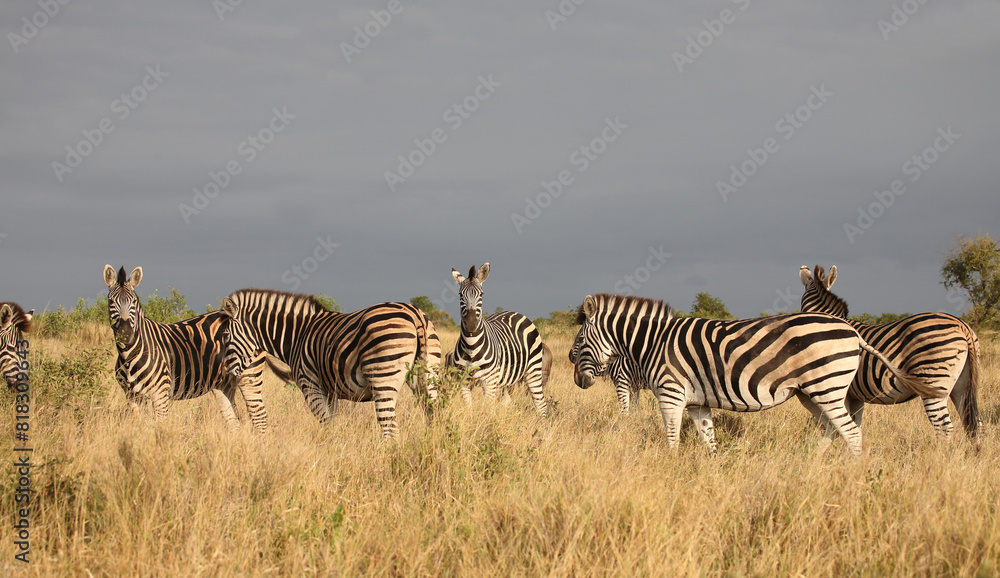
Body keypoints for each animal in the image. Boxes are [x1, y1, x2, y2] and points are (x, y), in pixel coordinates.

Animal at [104, 265, 269, 433]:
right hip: (223, 383)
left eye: (134, 301)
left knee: (259, 417)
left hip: (249, 374)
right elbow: (138, 427)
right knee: (233, 421)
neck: (129, 356)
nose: (125, 334)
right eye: (110, 301)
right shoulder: (132, 396)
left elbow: (160, 428)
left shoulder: (160, 394)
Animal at [220, 288, 442, 439]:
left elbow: (325, 424)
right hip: (428, 376)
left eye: (226, 335)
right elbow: (332, 423)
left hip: (383, 378)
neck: (297, 336)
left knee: (390, 430)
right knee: (434, 417)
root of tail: (415, 315)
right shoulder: (330, 391)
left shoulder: (310, 386)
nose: (224, 372)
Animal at [449, 263, 551, 417]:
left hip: (534, 370)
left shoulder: (489, 382)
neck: (471, 347)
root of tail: (517, 313)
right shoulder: (464, 382)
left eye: (481, 294)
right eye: (461, 294)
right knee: (507, 402)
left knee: (541, 405)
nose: (472, 324)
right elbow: (469, 411)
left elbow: (486, 411)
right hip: (509, 378)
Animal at [572, 293, 945, 455]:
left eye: (578, 341)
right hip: (812, 392)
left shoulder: (671, 394)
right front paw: (712, 475)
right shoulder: (697, 402)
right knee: (832, 429)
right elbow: (709, 441)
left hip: (826, 385)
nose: (578, 381)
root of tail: (853, 332)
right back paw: (813, 468)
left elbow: (672, 438)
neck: (654, 341)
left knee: (851, 433)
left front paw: (671, 468)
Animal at [799, 264, 981, 443]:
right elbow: (856, 424)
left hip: (933, 383)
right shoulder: (856, 396)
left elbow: (842, 426)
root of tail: (961, 325)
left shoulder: (841, 390)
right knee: (974, 423)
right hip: (961, 386)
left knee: (944, 428)